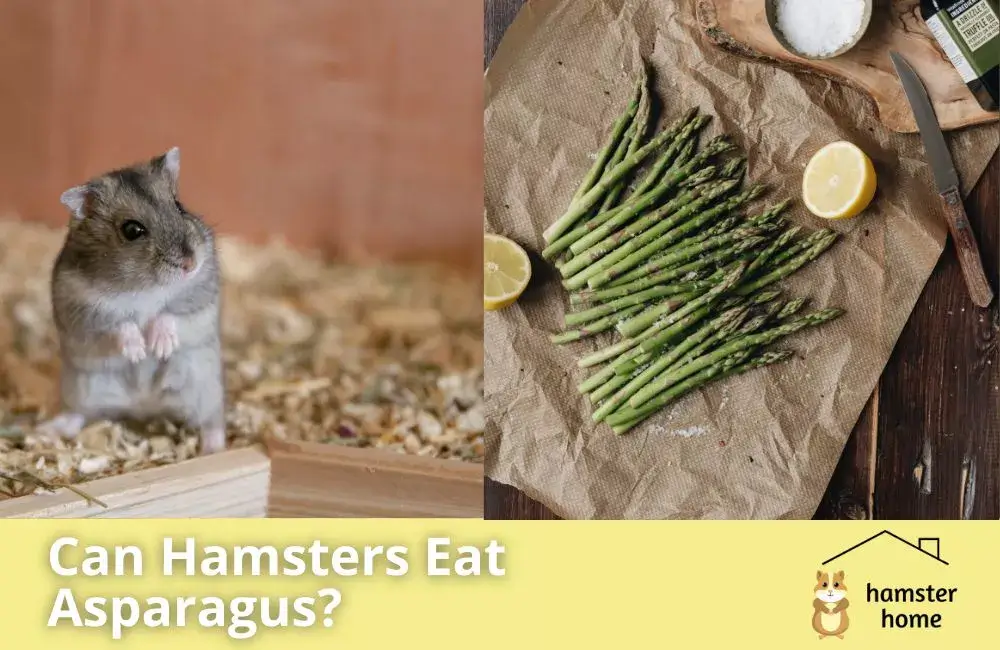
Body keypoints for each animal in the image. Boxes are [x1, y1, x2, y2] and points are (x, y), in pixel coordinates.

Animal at [40, 147, 226, 454]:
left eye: (179, 205)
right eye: (131, 230)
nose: (190, 263)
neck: (145, 286)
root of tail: (144, 405)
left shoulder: (199, 293)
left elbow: (169, 314)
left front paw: (159, 347)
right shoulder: (83, 307)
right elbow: (119, 324)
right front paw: (138, 352)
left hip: (203, 387)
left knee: (212, 421)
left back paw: (213, 449)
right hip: (81, 388)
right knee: (77, 414)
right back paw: (47, 431)